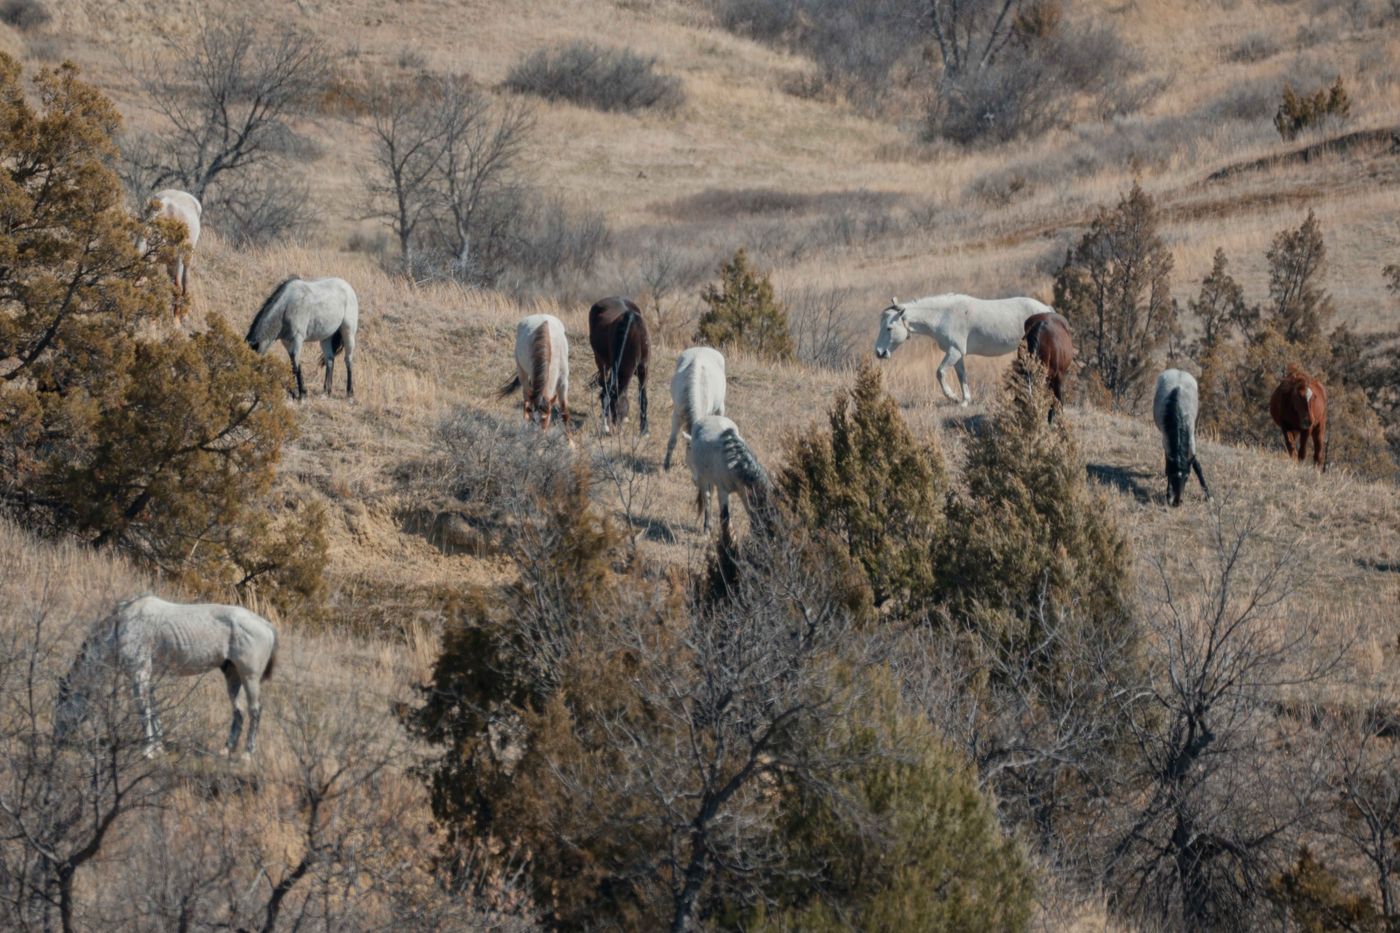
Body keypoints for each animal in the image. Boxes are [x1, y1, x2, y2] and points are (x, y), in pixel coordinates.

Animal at [54, 595, 278, 758]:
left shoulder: (139, 675)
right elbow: (153, 709)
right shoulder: (148, 678)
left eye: (62, 703)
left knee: (255, 711)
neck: (122, 625)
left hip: (249, 677)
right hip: (232, 676)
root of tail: (266, 624)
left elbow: (143, 710)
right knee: (238, 712)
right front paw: (158, 746)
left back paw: (247, 754)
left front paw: (148, 750)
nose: (56, 739)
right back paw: (226, 749)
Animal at [588, 297, 650, 435]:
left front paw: (644, 430)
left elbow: (643, 397)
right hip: (600, 361)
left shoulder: (644, 369)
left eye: (615, 407)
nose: (608, 430)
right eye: (603, 403)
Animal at [874, 294, 1055, 405]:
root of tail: (1047, 309)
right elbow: (962, 376)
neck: (943, 316)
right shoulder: (957, 354)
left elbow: (940, 372)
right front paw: (965, 400)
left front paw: (952, 397)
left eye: (889, 328)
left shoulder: (954, 352)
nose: (879, 352)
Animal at [1153, 369, 1210, 507]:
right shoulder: (1165, 439)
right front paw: (1168, 494)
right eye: (1173, 476)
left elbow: (1197, 465)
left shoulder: (1191, 438)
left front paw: (1208, 495)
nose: (1177, 502)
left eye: (1187, 477)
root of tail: (1179, 371)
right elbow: (1168, 462)